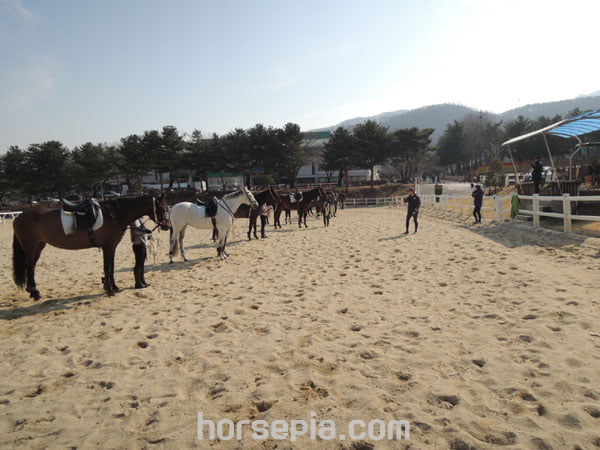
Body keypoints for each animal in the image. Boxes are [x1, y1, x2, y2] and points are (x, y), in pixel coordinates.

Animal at [12, 195, 171, 300]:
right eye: (162, 208)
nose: (167, 226)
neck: (114, 214)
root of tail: (19, 217)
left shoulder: (112, 247)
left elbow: (111, 267)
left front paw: (114, 287)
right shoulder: (107, 246)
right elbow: (107, 267)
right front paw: (109, 289)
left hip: (39, 246)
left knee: (31, 267)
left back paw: (32, 291)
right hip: (30, 247)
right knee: (29, 266)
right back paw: (35, 293)